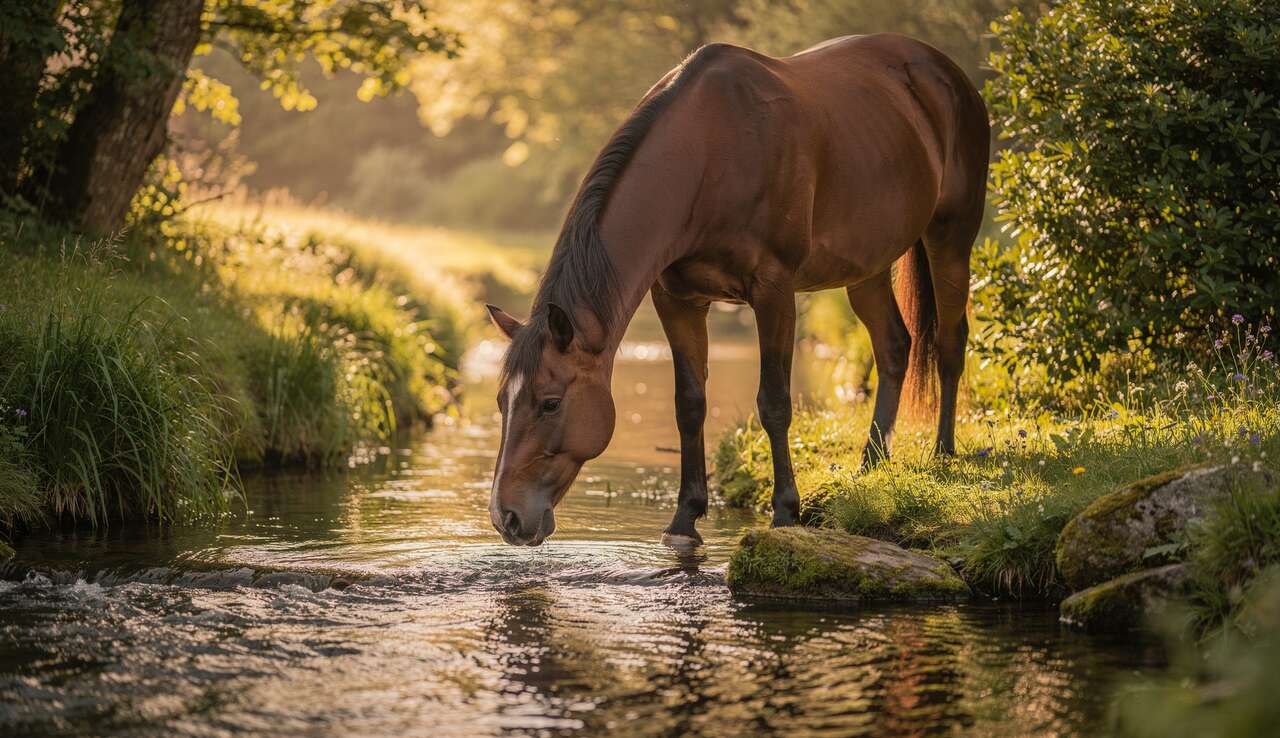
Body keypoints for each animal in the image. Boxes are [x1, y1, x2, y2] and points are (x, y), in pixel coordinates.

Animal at [484, 34, 989, 546]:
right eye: (503, 400)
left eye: (550, 403)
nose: (507, 517)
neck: (710, 158)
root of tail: (945, 73)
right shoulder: (678, 300)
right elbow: (689, 405)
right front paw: (685, 518)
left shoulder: (773, 291)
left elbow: (774, 403)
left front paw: (786, 511)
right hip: (866, 268)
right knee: (893, 346)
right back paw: (871, 465)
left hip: (951, 237)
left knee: (949, 343)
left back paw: (943, 453)